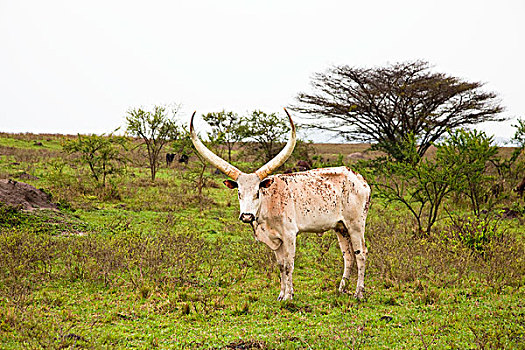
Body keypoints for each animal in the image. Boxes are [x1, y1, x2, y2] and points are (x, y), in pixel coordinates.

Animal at [190, 109, 370, 300]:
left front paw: (289, 296)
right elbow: (281, 266)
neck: (269, 205)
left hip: (356, 225)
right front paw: (281, 295)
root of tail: (359, 178)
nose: (246, 216)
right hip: (340, 227)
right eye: (239, 193)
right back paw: (341, 289)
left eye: (257, 192)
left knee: (361, 254)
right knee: (348, 256)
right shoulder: (275, 240)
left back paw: (358, 293)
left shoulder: (289, 235)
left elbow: (289, 265)